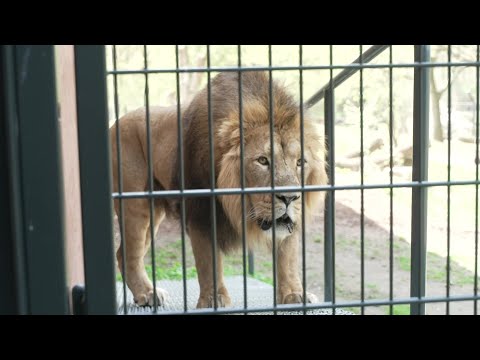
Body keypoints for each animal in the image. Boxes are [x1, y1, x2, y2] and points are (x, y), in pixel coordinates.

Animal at [110, 71, 328, 310]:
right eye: (262, 160)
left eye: (300, 162)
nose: (289, 197)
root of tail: (115, 124)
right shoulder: (202, 212)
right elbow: (209, 261)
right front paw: (214, 300)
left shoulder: (290, 222)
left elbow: (288, 257)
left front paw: (294, 294)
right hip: (135, 205)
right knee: (129, 254)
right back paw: (148, 293)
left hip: (154, 213)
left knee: (123, 253)